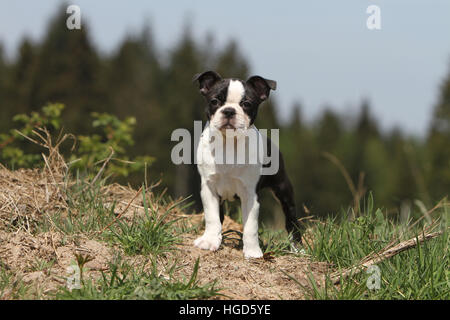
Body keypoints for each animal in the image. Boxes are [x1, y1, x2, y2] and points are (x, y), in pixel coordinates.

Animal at [192, 71, 302, 258]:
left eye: (247, 104)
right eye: (214, 101)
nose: (229, 111)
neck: (228, 143)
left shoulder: (250, 194)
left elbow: (250, 226)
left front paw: (252, 252)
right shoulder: (209, 188)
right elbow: (212, 217)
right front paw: (210, 241)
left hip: (283, 188)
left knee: (291, 217)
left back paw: (297, 247)